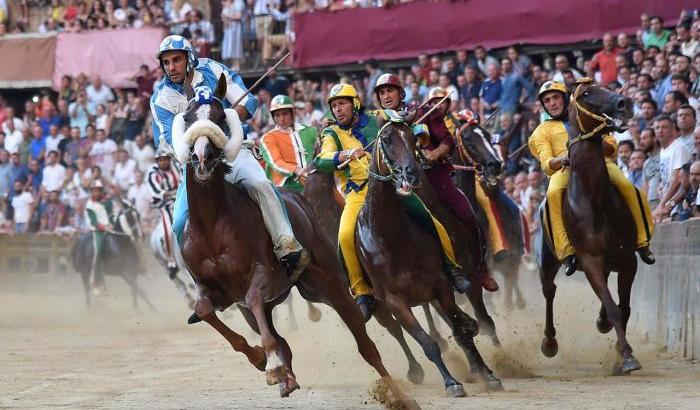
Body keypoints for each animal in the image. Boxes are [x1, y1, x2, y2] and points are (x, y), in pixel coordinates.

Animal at [178, 74, 416, 406]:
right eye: (187, 117)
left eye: (220, 116)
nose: (202, 157)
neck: (213, 222)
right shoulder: (216, 290)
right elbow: (204, 310)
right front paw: (263, 360)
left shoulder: (264, 274)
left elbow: (255, 298)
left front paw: (270, 365)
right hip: (294, 295)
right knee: (280, 336)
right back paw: (287, 375)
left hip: (327, 282)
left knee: (366, 342)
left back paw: (400, 394)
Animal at [356, 117, 504, 398]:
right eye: (387, 139)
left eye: (413, 139)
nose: (495, 165)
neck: (392, 237)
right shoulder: (396, 301)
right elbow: (428, 343)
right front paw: (452, 382)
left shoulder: (448, 283)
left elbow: (468, 327)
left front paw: (491, 371)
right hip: (382, 306)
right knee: (396, 330)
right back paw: (416, 370)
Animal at [540, 78, 644, 374]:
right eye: (586, 93)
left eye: (604, 86)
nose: (624, 102)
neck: (595, 199)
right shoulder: (590, 261)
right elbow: (614, 307)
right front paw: (626, 356)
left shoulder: (627, 259)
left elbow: (623, 308)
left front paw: (620, 350)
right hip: (547, 259)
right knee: (549, 290)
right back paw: (549, 343)